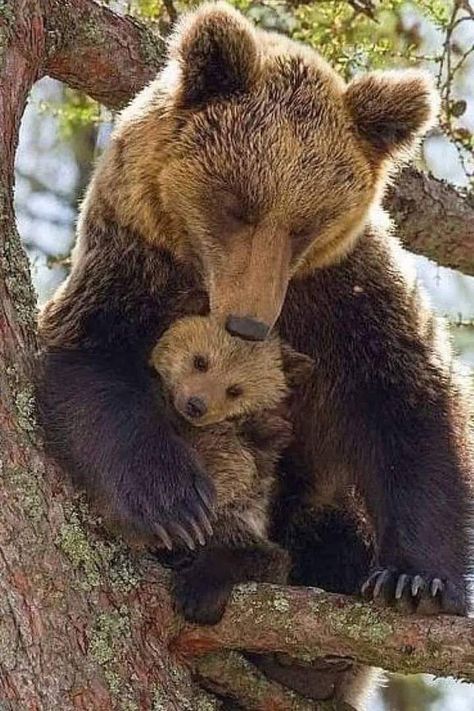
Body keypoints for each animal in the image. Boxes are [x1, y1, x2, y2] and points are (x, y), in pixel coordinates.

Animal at [39, 0, 472, 700]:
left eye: (306, 225)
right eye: (237, 205)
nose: (248, 323)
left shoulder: (343, 293)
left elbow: (404, 402)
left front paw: (417, 580)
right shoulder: (130, 262)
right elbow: (92, 365)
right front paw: (174, 502)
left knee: (329, 519)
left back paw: (305, 656)